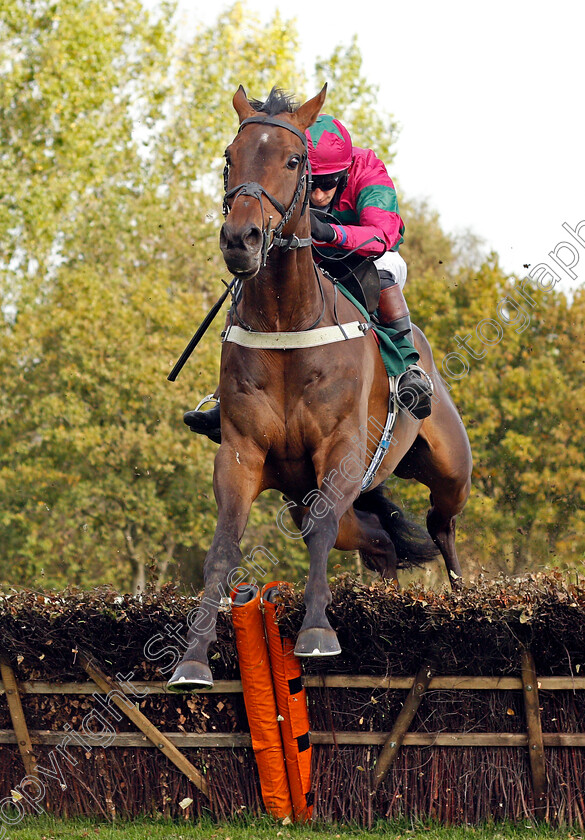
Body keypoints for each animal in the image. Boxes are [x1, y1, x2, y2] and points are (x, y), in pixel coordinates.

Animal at [167, 85, 472, 692]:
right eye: (230, 158)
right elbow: (222, 548)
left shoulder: (341, 447)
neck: (289, 320)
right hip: (318, 495)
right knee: (380, 541)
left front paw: (315, 632)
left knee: (440, 523)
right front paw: (192, 658)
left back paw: (461, 600)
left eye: (293, 161)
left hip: (450, 465)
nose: (241, 239)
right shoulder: (240, 453)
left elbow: (322, 531)